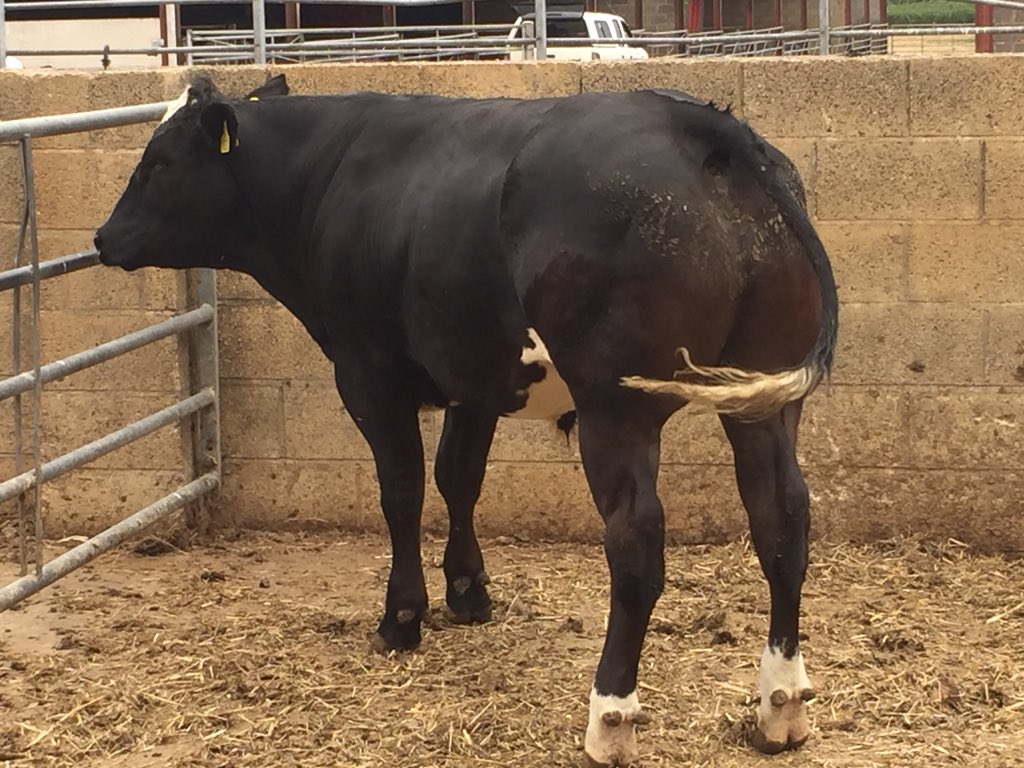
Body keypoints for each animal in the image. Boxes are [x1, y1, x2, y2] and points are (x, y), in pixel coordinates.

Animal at [94, 73, 838, 766]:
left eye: (156, 162)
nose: (103, 237)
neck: (327, 176)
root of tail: (696, 121)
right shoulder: (474, 379)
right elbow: (459, 478)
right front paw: (468, 592)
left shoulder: (370, 376)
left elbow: (401, 491)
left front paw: (402, 617)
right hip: (765, 399)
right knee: (782, 517)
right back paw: (781, 705)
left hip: (616, 406)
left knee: (636, 541)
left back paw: (610, 717)